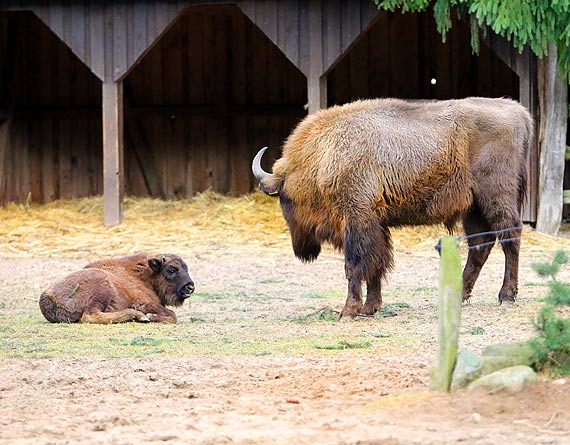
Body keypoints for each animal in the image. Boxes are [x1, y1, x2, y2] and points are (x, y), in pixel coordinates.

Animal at [39, 253, 195, 322]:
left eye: (186, 268)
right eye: (171, 270)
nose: (190, 287)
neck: (145, 275)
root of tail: (47, 298)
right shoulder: (144, 302)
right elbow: (172, 315)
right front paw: (150, 316)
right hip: (102, 288)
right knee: (90, 316)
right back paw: (139, 316)